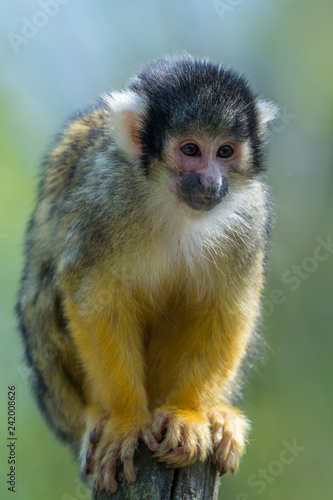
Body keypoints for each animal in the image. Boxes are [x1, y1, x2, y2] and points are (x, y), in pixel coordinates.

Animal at [16, 54, 276, 492]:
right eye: (190, 149)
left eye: (225, 151)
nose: (211, 181)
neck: (171, 201)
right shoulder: (104, 198)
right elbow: (95, 297)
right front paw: (124, 420)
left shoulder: (250, 214)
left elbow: (227, 308)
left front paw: (189, 413)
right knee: (47, 288)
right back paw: (95, 417)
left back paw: (214, 414)